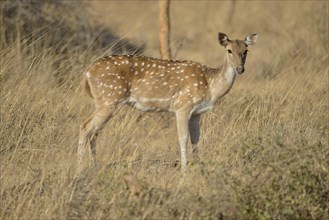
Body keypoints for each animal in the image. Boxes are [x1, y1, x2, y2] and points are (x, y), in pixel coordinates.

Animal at [78, 32, 258, 173]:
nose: (240, 69)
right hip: (109, 99)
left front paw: (198, 166)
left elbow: (196, 140)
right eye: (229, 50)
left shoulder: (196, 113)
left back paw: (94, 165)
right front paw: (184, 170)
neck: (210, 86)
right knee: (85, 127)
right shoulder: (182, 106)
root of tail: (87, 73)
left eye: (246, 51)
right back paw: (80, 166)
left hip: (105, 101)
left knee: (94, 131)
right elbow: (183, 138)